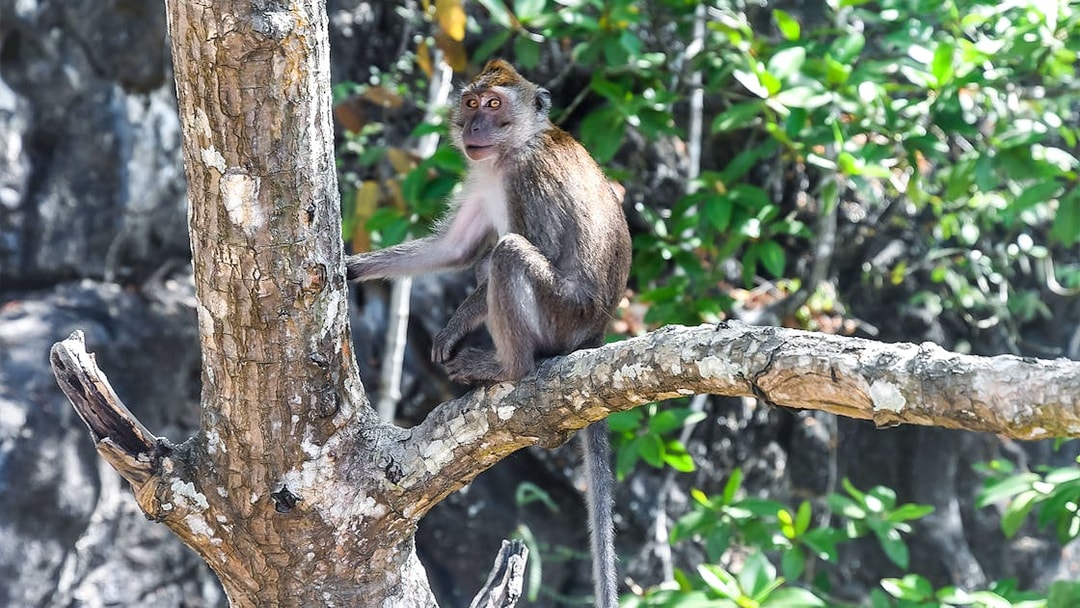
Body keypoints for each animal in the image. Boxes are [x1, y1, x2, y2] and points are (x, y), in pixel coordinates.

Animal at [346, 59, 630, 607]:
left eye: (495, 104)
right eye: (473, 103)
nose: (475, 125)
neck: (510, 150)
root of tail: (596, 333)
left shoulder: (528, 179)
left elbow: (528, 248)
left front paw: (454, 326)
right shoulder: (480, 176)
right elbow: (454, 250)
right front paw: (348, 267)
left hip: (562, 315)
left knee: (507, 255)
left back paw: (506, 367)